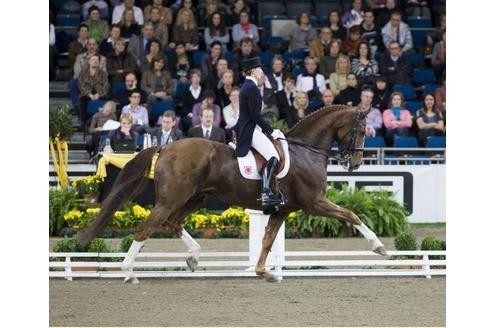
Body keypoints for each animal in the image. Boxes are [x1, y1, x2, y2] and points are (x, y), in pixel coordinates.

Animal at [77, 104, 388, 282]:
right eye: (361, 130)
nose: (355, 163)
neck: (305, 151)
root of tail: (165, 147)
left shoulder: (283, 209)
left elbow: (267, 240)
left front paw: (264, 272)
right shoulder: (314, 202)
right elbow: (351, 215)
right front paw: (378, 247)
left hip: (195, 197)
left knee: (171, 222)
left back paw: (193, 257)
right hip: (172, 198)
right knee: (147, 227)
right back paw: (129, 273)